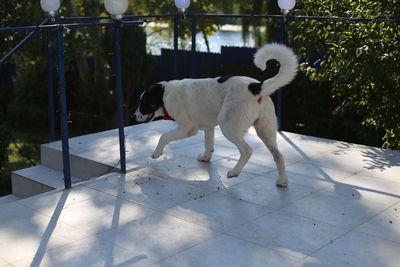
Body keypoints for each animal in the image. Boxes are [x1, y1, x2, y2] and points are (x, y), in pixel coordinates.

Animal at [133, 43, 298, 186]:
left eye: (143, 103)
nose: (133, 117)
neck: (165, 94)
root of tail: (256, 86)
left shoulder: (187, 128)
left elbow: (163, 137)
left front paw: (156, 153)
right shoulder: (208, 127)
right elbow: (209, 144)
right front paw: (206, 158)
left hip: (228, 126)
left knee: (247, 150)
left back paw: (234, 172)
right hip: (266, 130)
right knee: (278, 155)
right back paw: (282, 182)